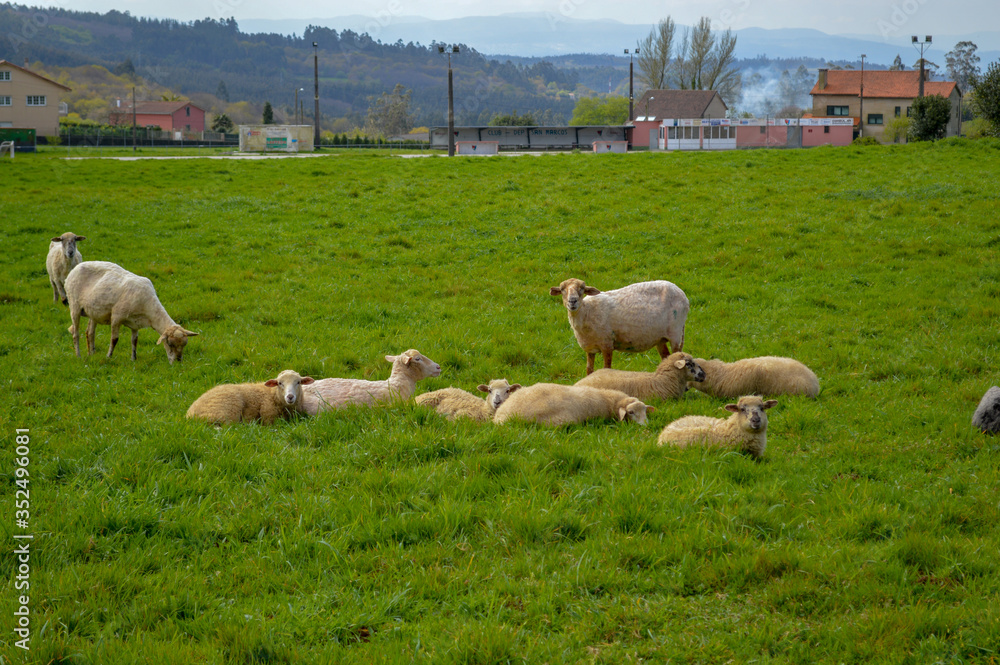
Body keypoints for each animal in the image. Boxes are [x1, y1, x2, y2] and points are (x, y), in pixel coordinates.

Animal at [64, 261, 198, 364]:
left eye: (184, 344)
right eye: (170, 344)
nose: (178, 361)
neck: (148, 310)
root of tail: (75, 269)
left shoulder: (135, 323)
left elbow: (134, 341)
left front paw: (133, 358)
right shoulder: (116, 316)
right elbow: (114, 339)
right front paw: (109, 356)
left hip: (93, 311)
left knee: (90, 333)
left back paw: (91, 354)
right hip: (74, 305)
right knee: (76, 333)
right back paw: (78, 355)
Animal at [186, 370, 315, 425]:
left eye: (298, 382)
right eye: (280, 383)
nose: (290, 397)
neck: (273, 395)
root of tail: (189, 414)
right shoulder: (268, 417)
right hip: (227, 410)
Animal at [549, 277, 689, 375]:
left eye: (582, 289)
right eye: (562, 289)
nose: (572, 301)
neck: (586, 311)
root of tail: (682, 294)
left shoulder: (607, 344)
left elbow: (606, 368)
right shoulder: (590, 348)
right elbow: (589, 370)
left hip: (676, 333)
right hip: (660, 338)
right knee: (666, 357)